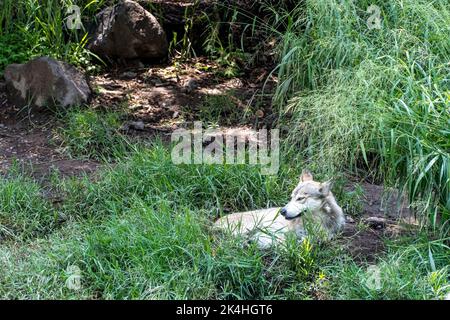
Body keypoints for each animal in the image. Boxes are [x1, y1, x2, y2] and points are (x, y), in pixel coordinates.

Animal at [214, 170, 344, 248]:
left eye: (300, 198)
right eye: (291, 197)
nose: (282, 211)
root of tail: (215, 223)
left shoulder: (331, 233)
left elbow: (324, 238)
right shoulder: (282, 231)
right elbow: (288, 241)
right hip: (253, 226)